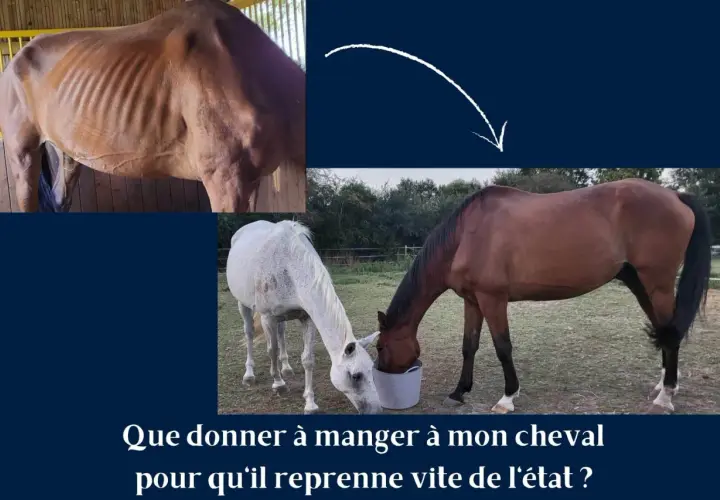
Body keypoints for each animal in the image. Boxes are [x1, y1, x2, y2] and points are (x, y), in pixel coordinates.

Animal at [226, 220, 382, 414]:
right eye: (356, 376)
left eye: (371, 370)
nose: (376, 410)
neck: (288, 266)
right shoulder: (267, 317)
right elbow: (272, 351)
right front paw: (278, 384)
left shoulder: (307, 318)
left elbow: (307, 359)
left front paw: (310, 403)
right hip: (243, 305)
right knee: (249, 334)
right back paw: (249, 375)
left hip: (280, 318)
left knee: (281, 333)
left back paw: (286, 368)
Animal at [372, 178, 712, 413]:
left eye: (381, 346)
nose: (383, 377)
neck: (465, 235)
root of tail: (675, 196)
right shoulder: (472, 301)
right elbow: (469, 346)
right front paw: (459, 392)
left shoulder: (493, 299)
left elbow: (503, 347)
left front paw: (507, 397)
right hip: (640, 282)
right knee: (667, 330)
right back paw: (665, 384)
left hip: (658, 283)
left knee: (670, 334)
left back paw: (665, 396)